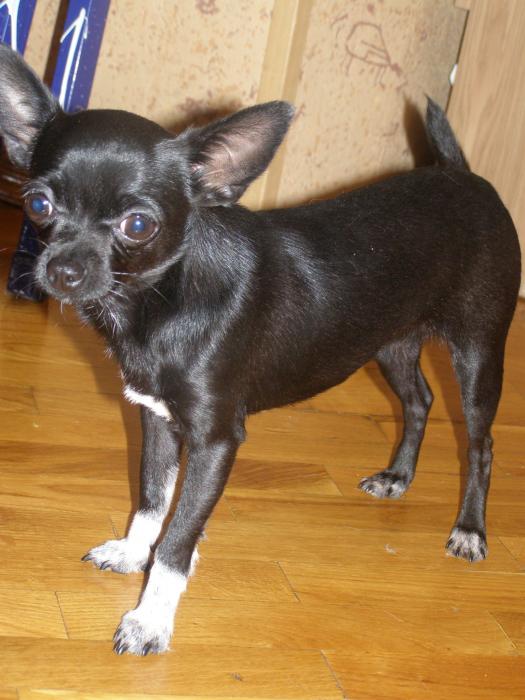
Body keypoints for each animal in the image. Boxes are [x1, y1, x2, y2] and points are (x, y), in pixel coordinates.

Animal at [0, 43, 521, 655]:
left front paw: (151, 617)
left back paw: (469, 529)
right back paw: (398, 476)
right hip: (389, 344)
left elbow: (177, 537)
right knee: (419, 402)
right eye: (38, 203)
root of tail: (464, 176)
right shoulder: (156, 419)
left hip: (478, 353)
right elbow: (152, 499)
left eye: (138, 224)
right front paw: (132, 551)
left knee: (480, 444)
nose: (62, 271)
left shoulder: (216, 440)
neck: (163, 298)